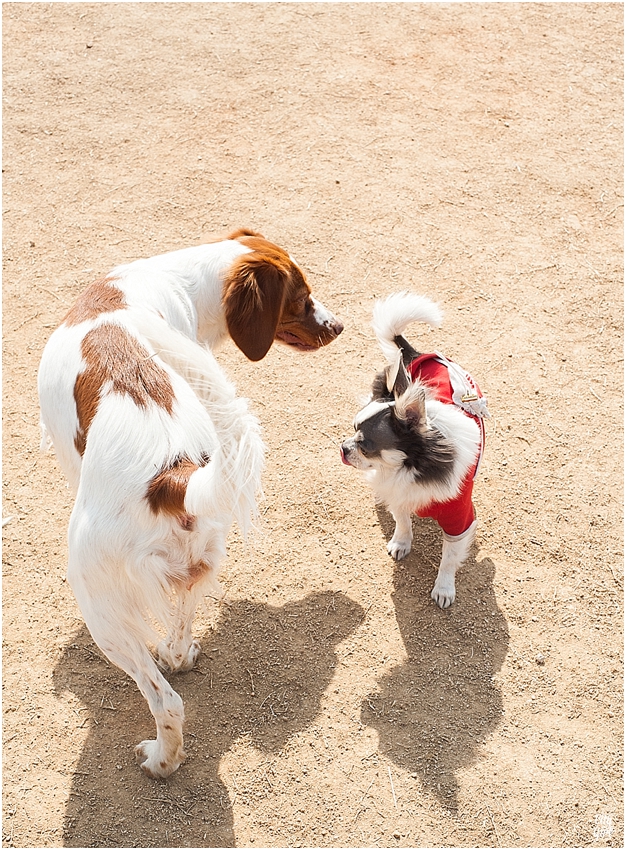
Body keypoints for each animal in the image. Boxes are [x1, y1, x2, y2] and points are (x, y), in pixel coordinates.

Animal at [39, 230, 342, 776]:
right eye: (303, 299)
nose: (339, 326)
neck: (171, 279)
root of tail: (172, 475)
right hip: (202, 561)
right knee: (178, 649)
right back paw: (177, 656)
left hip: (100, 608)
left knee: (167, 702)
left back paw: (161, 761)